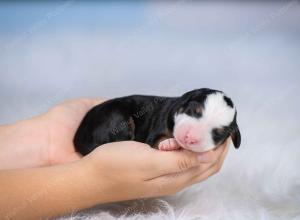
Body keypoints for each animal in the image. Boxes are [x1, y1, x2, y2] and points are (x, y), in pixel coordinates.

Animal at [74, 87, 240, 155]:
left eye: (218, 134)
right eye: (193, 111)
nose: (189, 138)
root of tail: (78, 138)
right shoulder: (156, 131)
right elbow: (158, 139)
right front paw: (170, 143)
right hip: (117, 118)